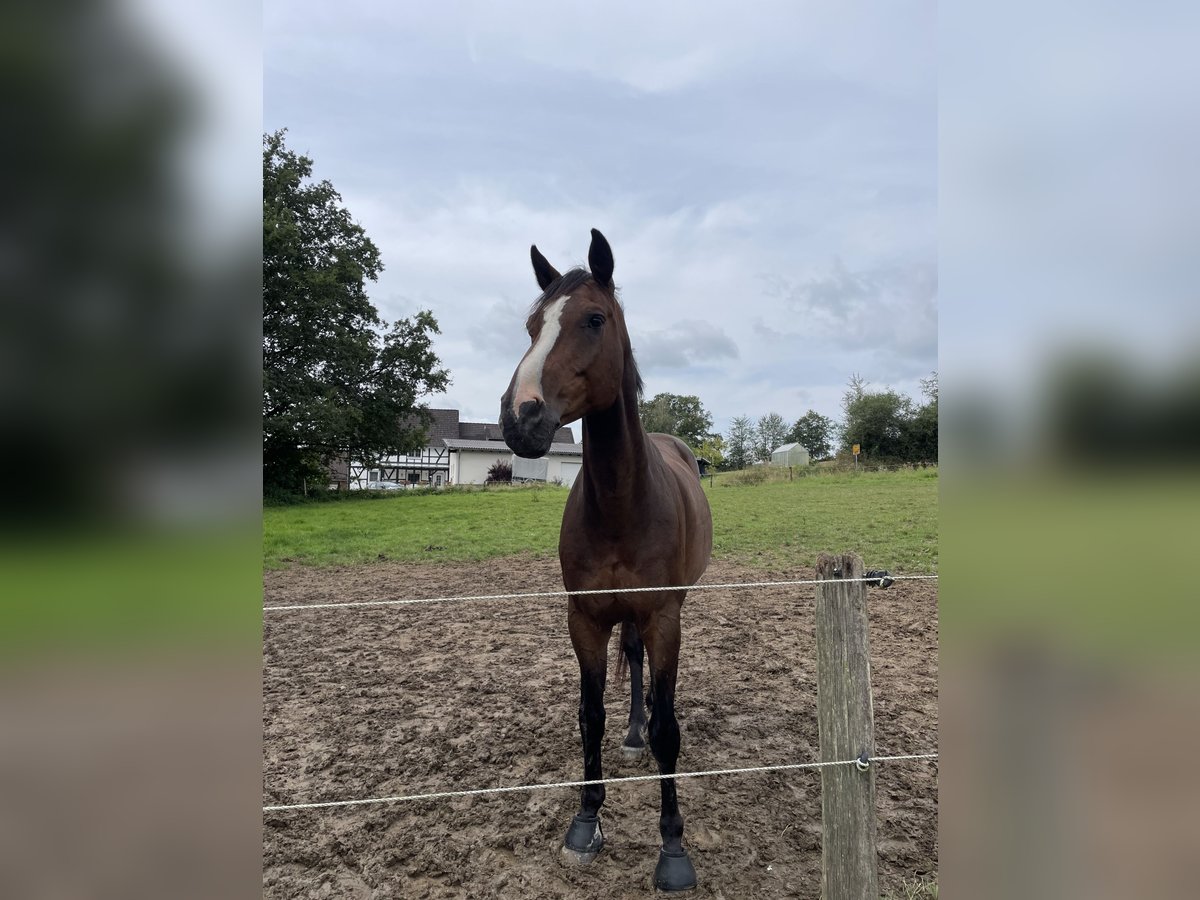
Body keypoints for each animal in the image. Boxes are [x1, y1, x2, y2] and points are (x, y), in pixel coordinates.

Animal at [499, 229, 710, 892]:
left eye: (594, 319)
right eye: (531, 325)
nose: (520, 416)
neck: (622, 503)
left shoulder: (664, 616)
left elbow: (670, 730)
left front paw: (673, 848)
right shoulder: (585, 619)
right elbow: (589, 716)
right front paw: (586, 822)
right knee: (633, 665)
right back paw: (631, 733)